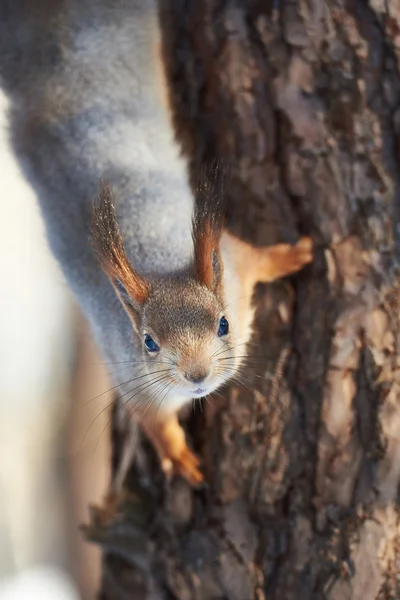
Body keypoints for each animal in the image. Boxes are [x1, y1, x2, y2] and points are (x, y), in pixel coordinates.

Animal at [0, 0, 312, 488]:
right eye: (148, 342)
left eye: (223, 324)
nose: (197, 375)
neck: (159, 264)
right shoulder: (131, 377)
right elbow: (152, 421)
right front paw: (178, 455)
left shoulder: (234, 265)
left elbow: (257, 257)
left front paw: (294, 253)